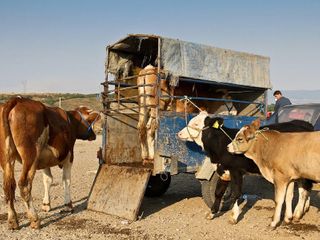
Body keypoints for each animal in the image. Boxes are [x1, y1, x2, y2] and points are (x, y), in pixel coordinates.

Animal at [0, 96, 102, 230]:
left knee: (8, 186)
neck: (70, 121)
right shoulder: (69, 156)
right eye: (90, 121)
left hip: (6, 157)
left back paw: (13, 221)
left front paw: (46, 204)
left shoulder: (43, 160)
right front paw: (68, 205)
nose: (94, 135)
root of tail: (16, 100)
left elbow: (47, 180)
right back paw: (34, 219)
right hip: (31, 155)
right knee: (24, 184)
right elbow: (66, 180)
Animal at [87, 34, 270, 221]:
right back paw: (151, 156)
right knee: (151, 127)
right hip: (156, 105)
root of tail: (148, 70)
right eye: (228, 100)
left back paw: (146, 156)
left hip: (144, 104)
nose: (234, 111)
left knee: (141, 127)